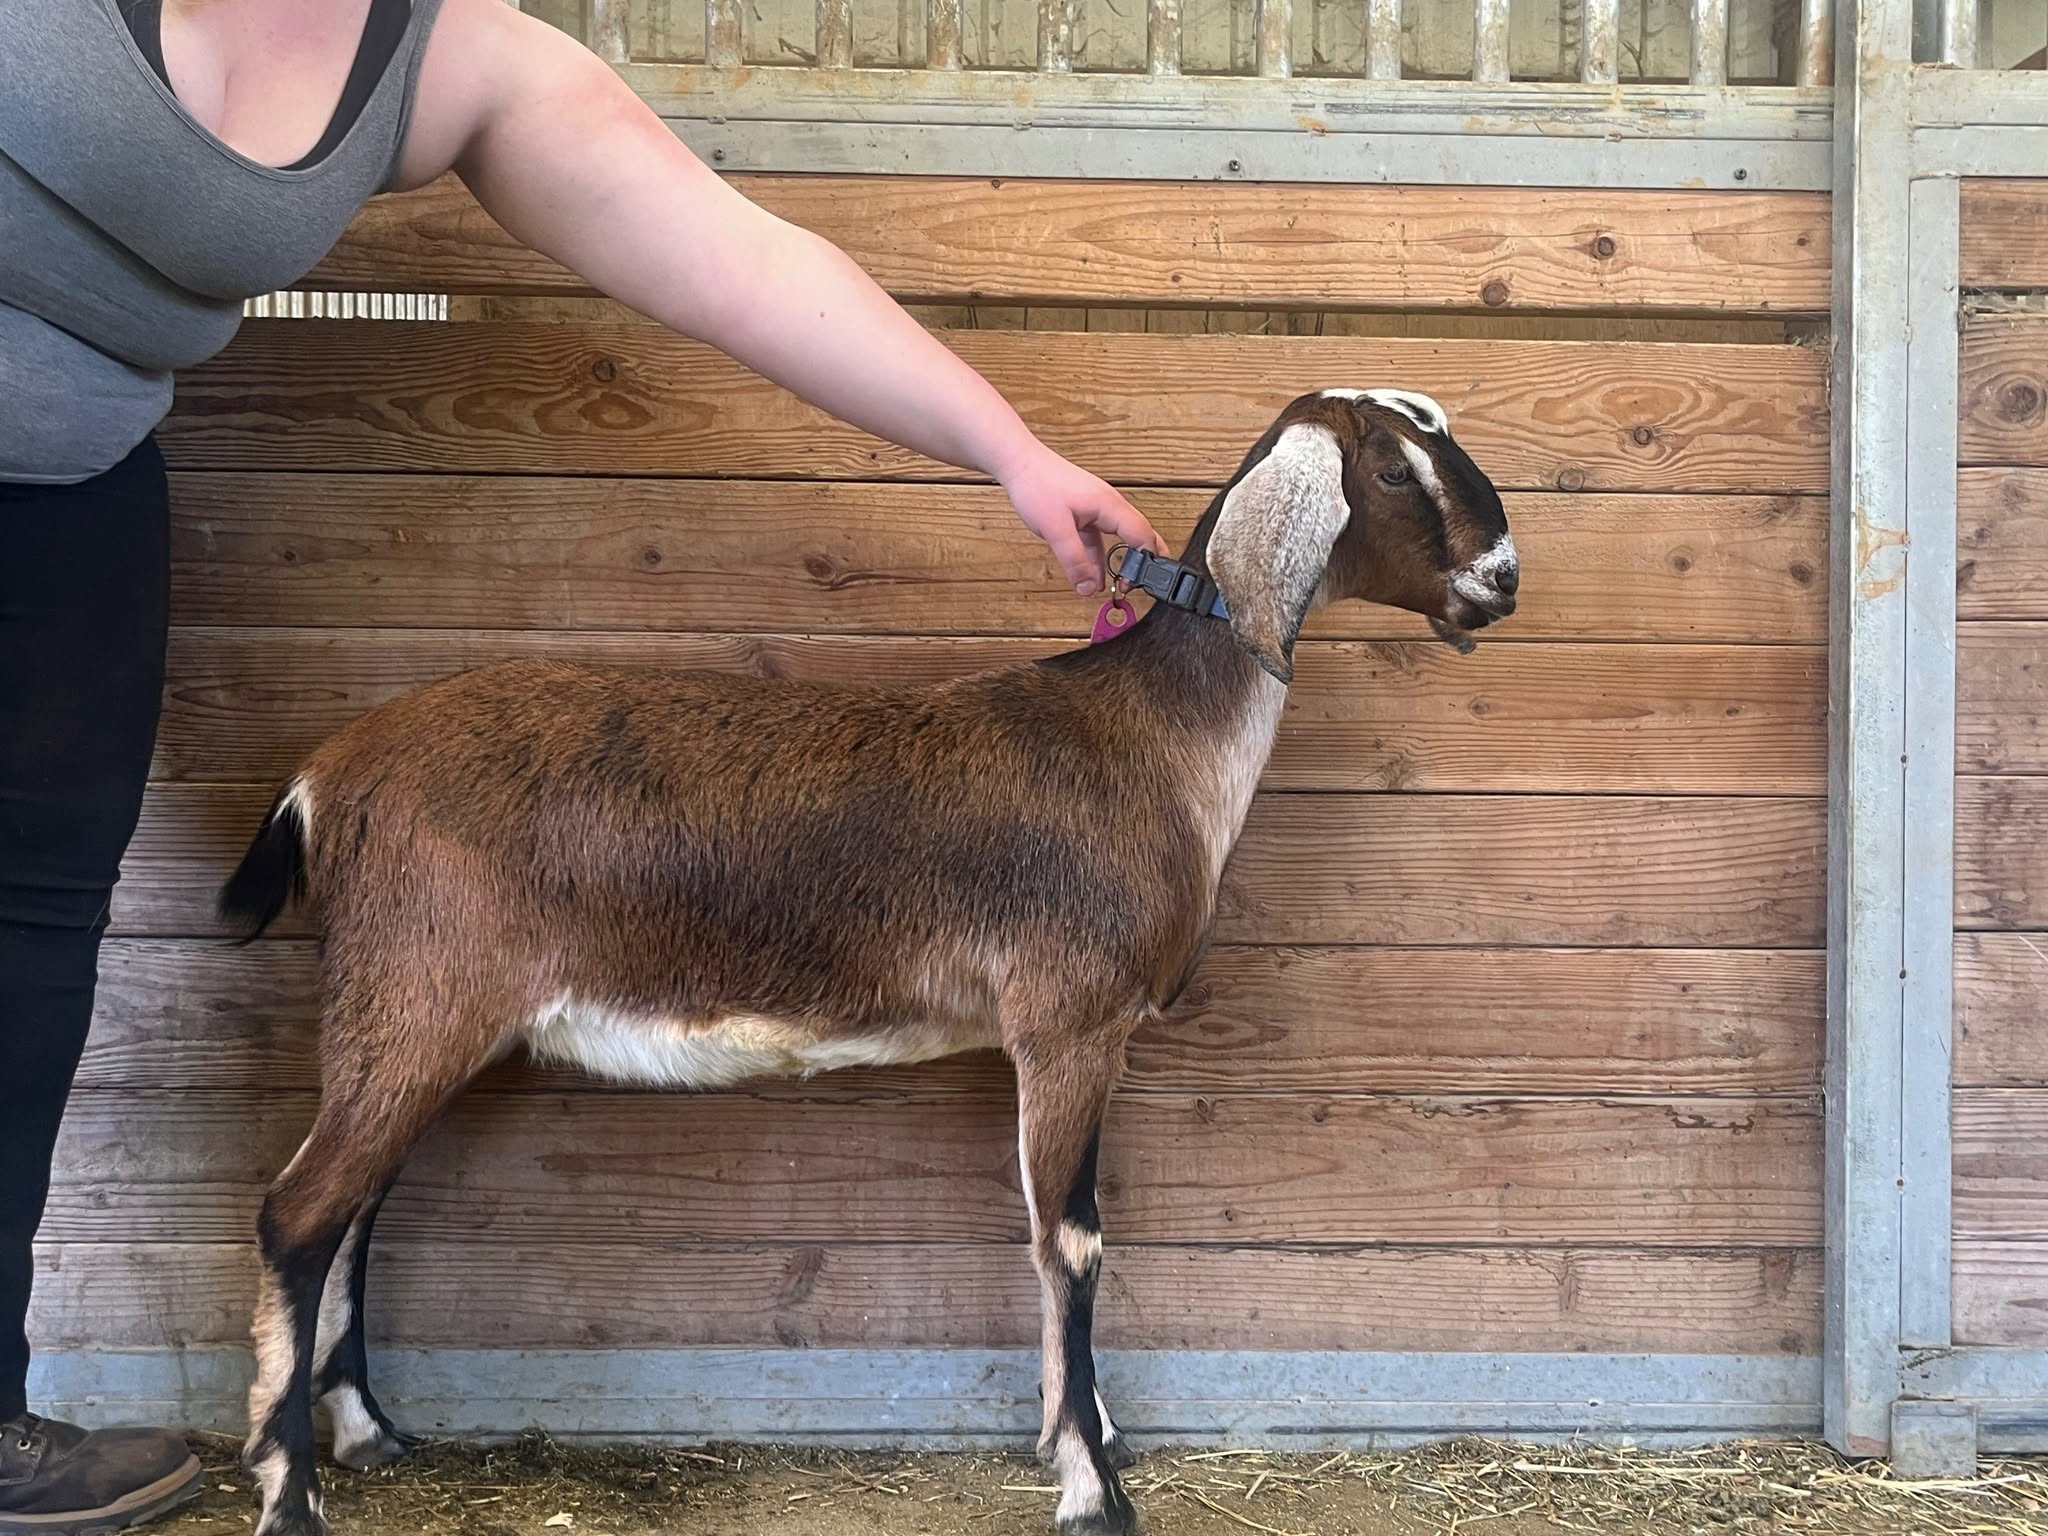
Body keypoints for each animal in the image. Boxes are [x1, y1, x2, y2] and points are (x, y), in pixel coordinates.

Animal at [217, 388, 1517, 1536]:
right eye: (1391, 468)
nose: (1501, 578)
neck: (1153, 738)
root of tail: (323, 777)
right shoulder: (1069, 1022)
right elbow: (1071, 1240)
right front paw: (1091, 1487)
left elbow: (1052, 1229)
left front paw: (1083, 1434)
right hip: (419, 995)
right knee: (299, 1213)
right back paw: (288, 1495)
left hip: (415, 1019)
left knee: (355, 1209)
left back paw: (368, 1432)